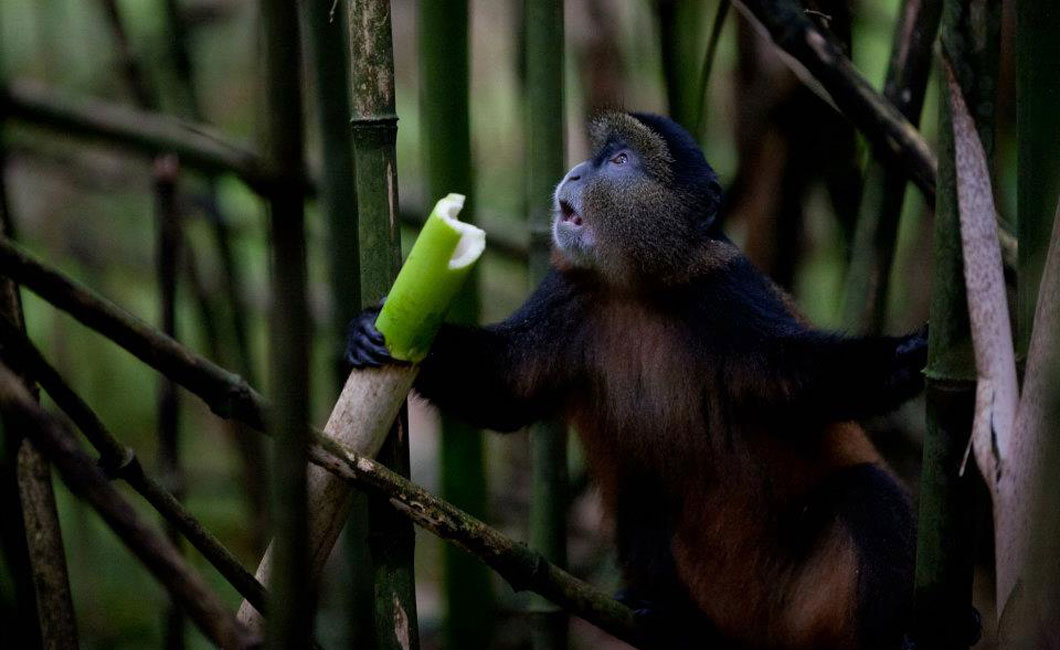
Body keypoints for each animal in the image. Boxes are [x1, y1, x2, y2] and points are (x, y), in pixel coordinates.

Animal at [347, 112, 929, 649]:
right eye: (599, 157)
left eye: (620, 161)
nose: (576, 172)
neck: (637, 290)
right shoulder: (566, 297)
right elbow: (504, 388)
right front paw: (370, 331)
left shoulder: (729, 296)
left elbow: (800, 376)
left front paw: (903, 359)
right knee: (644, 497)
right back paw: (671, 614)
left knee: (869, 492)